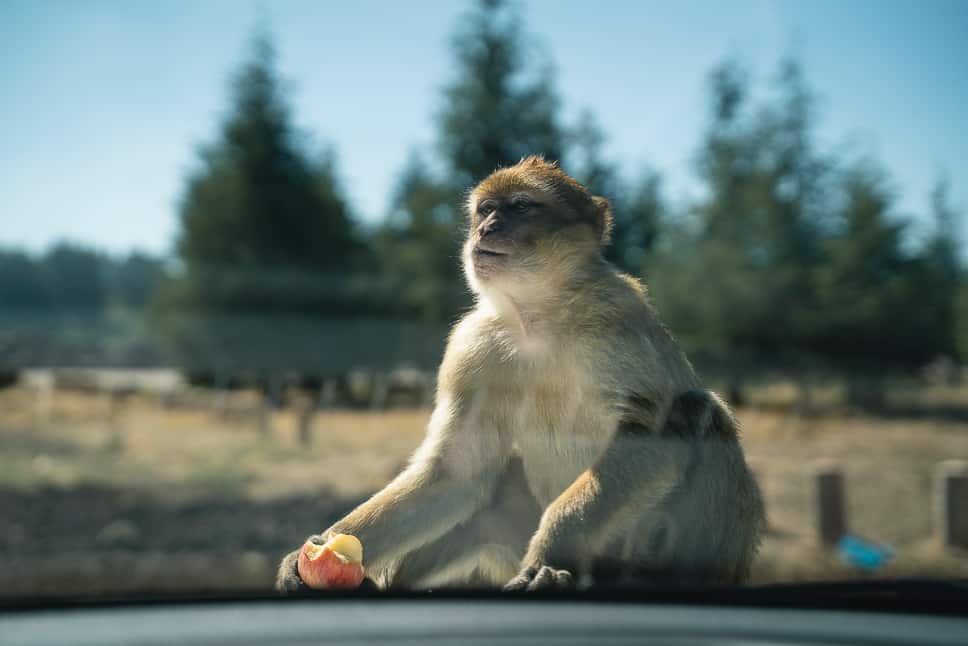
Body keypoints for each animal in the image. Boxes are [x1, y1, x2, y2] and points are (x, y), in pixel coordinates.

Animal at [277, 156, 765, 592]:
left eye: (521, 207)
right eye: (485, 209)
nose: (485, 230)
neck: (540, 316)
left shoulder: (617, 319)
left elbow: (649, 433)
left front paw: (550, 554)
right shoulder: (472, 346)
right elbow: (457, 471)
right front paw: (318, 550)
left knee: (699, 410)